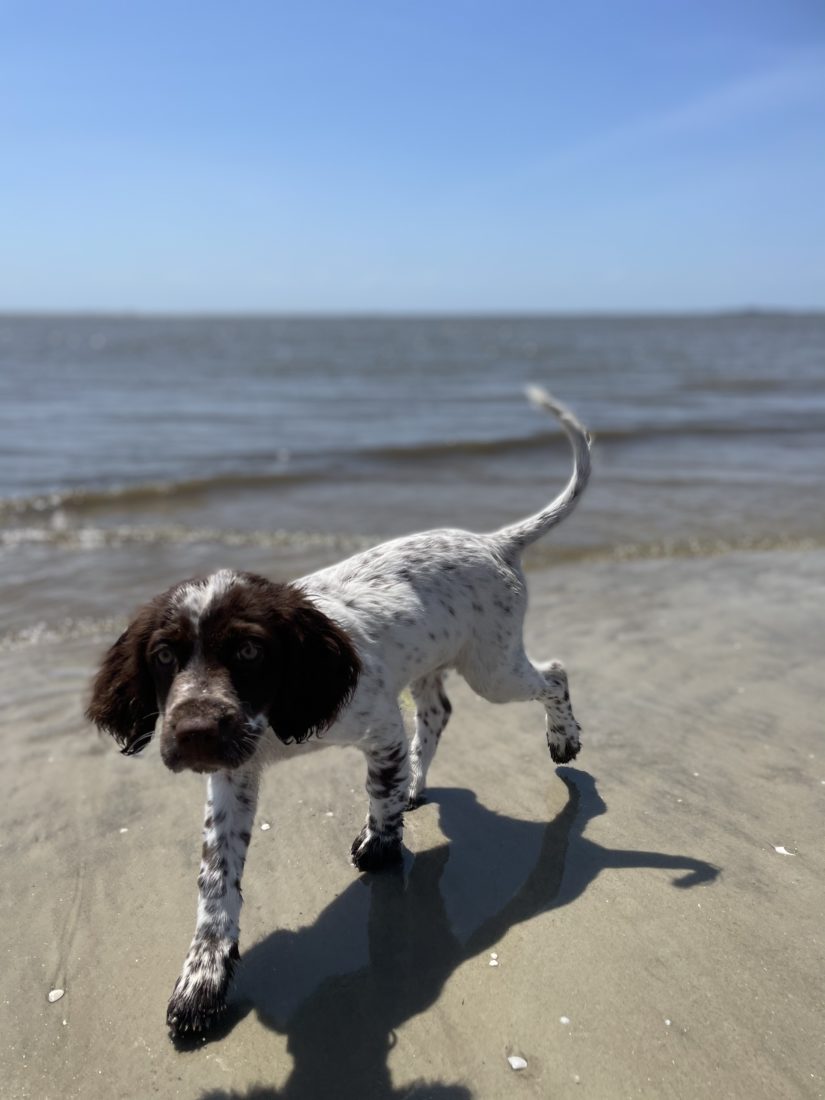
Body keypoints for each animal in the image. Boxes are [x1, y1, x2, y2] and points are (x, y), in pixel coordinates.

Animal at [89, 385, 594, 1029]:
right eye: (162, 656)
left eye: (249, 650)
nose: (195, 731)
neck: (274, 718)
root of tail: (493, 541)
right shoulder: (232, 775)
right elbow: (216, 877)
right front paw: (204, 975)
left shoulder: (378, 727)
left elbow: (378, 793)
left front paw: (379, 847)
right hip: (437, 666)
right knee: (437, 713)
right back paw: (418, 784)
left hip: (494, 667)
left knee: (553, 673)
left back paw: (563, 739)